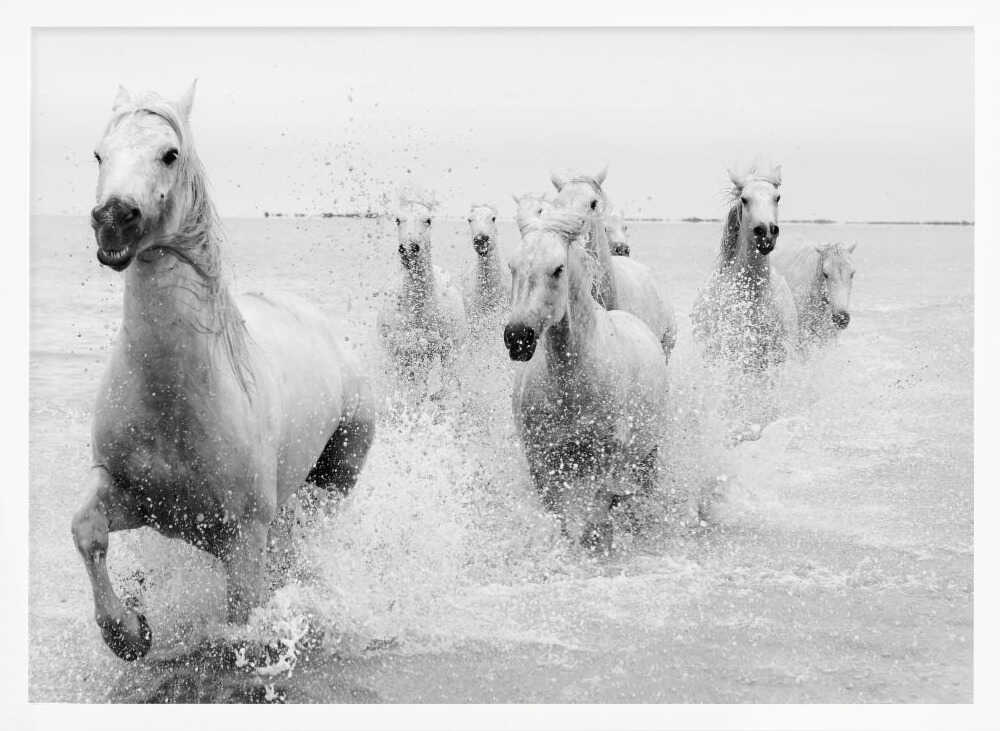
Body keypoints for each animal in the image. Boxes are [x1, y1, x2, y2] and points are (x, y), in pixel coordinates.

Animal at [71, 83, 375, 662]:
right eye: (98, 153)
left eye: (170, 154)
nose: (113, 218)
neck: (174, 396)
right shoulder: (131, 495)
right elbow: (87, 531)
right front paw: (129, 631)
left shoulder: (244, 537)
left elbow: (242, 617)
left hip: (337, 476)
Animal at [377, 196, 469, 393]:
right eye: (397, 219)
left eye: (428, 220)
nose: (409, 249)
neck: (418, 310)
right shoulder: (403, 355)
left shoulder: (447, 354)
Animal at [504, 208, 669, 553]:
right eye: (512, 266)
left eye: (558, 269)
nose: (518, 338)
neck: (571, 387)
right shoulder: (541, 461)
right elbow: (561, 518)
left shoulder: (609, 459)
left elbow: (598, 514)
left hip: (648, 454)